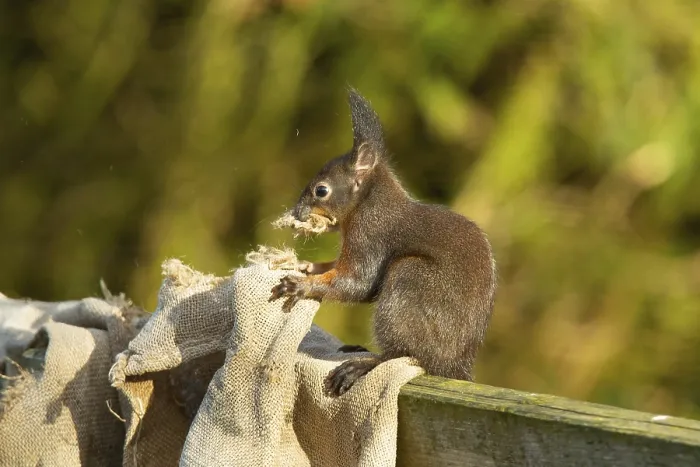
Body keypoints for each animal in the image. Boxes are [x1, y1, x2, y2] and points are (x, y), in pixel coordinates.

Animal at [270, 88, 497, 396]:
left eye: (321, 190)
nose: (297, 213)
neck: (369, 199)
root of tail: (451, 366)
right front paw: (306, 266)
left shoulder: (371, 234)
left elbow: (357, 283)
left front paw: (302, 285)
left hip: (409, 280)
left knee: (402, 354)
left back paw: (364, 363)